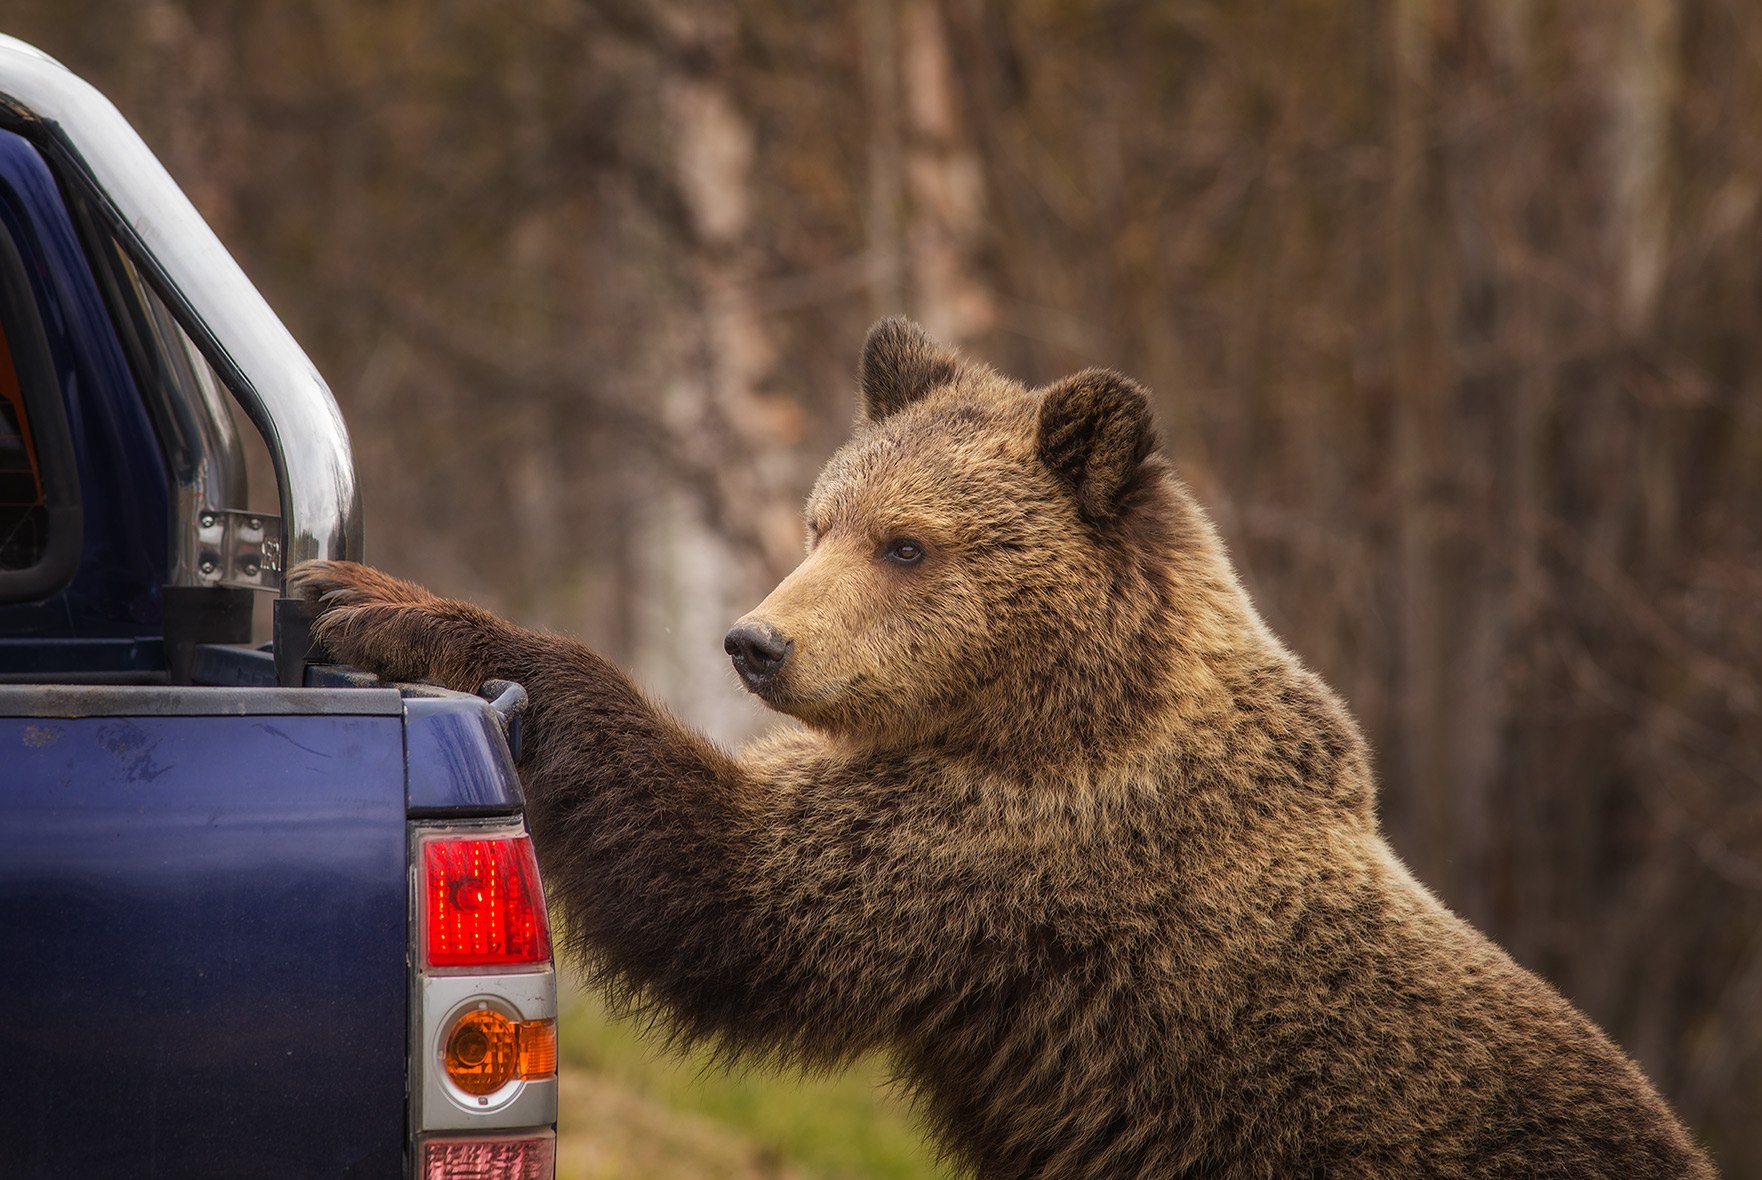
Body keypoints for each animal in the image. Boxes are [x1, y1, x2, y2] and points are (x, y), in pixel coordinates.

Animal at [296, 318, 1712, 1176]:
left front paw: (387, 603)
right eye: (822, 517)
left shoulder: (1020, 844)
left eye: (907, 542)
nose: (757, 642)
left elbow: (739, 889)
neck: (1042, 707)